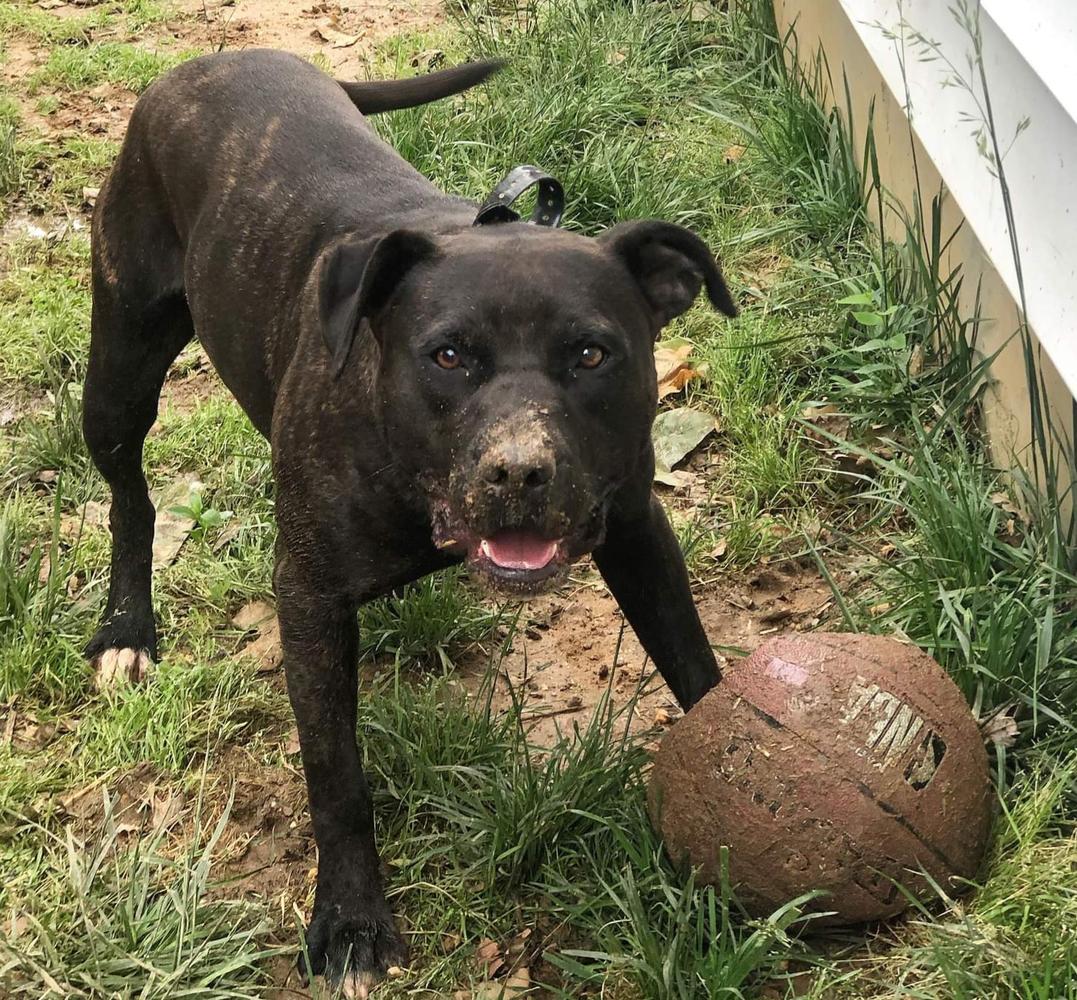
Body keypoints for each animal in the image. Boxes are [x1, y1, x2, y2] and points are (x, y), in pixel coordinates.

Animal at [86, 50, 732, 994]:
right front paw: (351, 921)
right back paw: (126, 627)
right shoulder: (309, 599)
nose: (518, 472)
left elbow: (696, 668)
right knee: (130, 495)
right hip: (119, 371)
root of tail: (219, 58)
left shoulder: (637, 530)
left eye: (591, 354)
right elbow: (337, 779)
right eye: (448, 355)